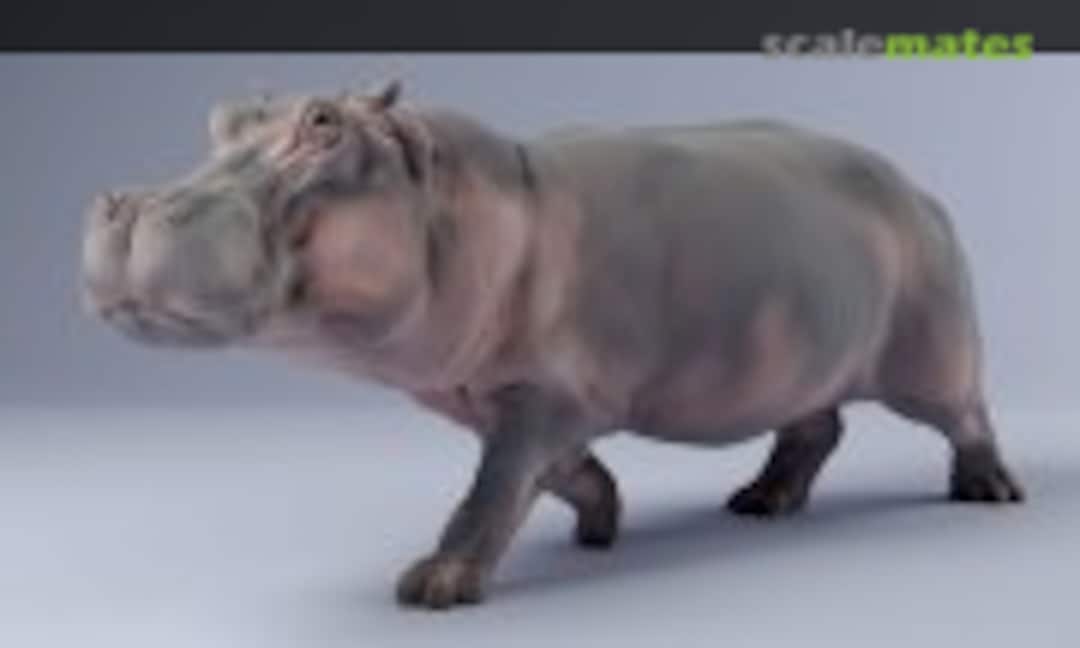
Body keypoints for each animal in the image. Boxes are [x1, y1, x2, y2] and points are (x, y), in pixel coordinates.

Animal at [81, 80, 1024, 610]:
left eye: (322, 124)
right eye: (223, 116)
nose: (131, 204)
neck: (452, 195)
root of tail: (915, 184)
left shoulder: (541, 394)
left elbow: (493, 490)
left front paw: (433, 588)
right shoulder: (495, 396)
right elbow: (554, 475)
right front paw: (601, 527)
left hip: (935, 353)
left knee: (967, 417)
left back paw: (989, 494)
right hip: (804, 362)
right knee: (815, 428)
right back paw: (758, 503)